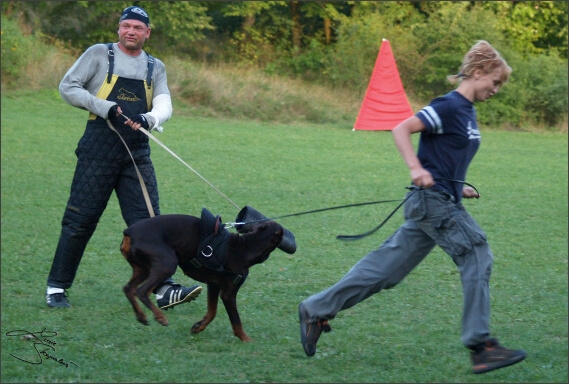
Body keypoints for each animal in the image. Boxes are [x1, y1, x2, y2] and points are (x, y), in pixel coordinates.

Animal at [120, 210, 284, 342]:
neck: (246, 247)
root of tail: (129, 232)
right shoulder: (228, 293)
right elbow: (236, 321)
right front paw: (246, 339)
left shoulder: (214, 285)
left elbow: (212, 311)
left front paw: (198, 327)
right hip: (166, 264)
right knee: (141, 291)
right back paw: (160, 317)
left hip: (142, 269)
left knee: (128, 289)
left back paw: (141, 316)